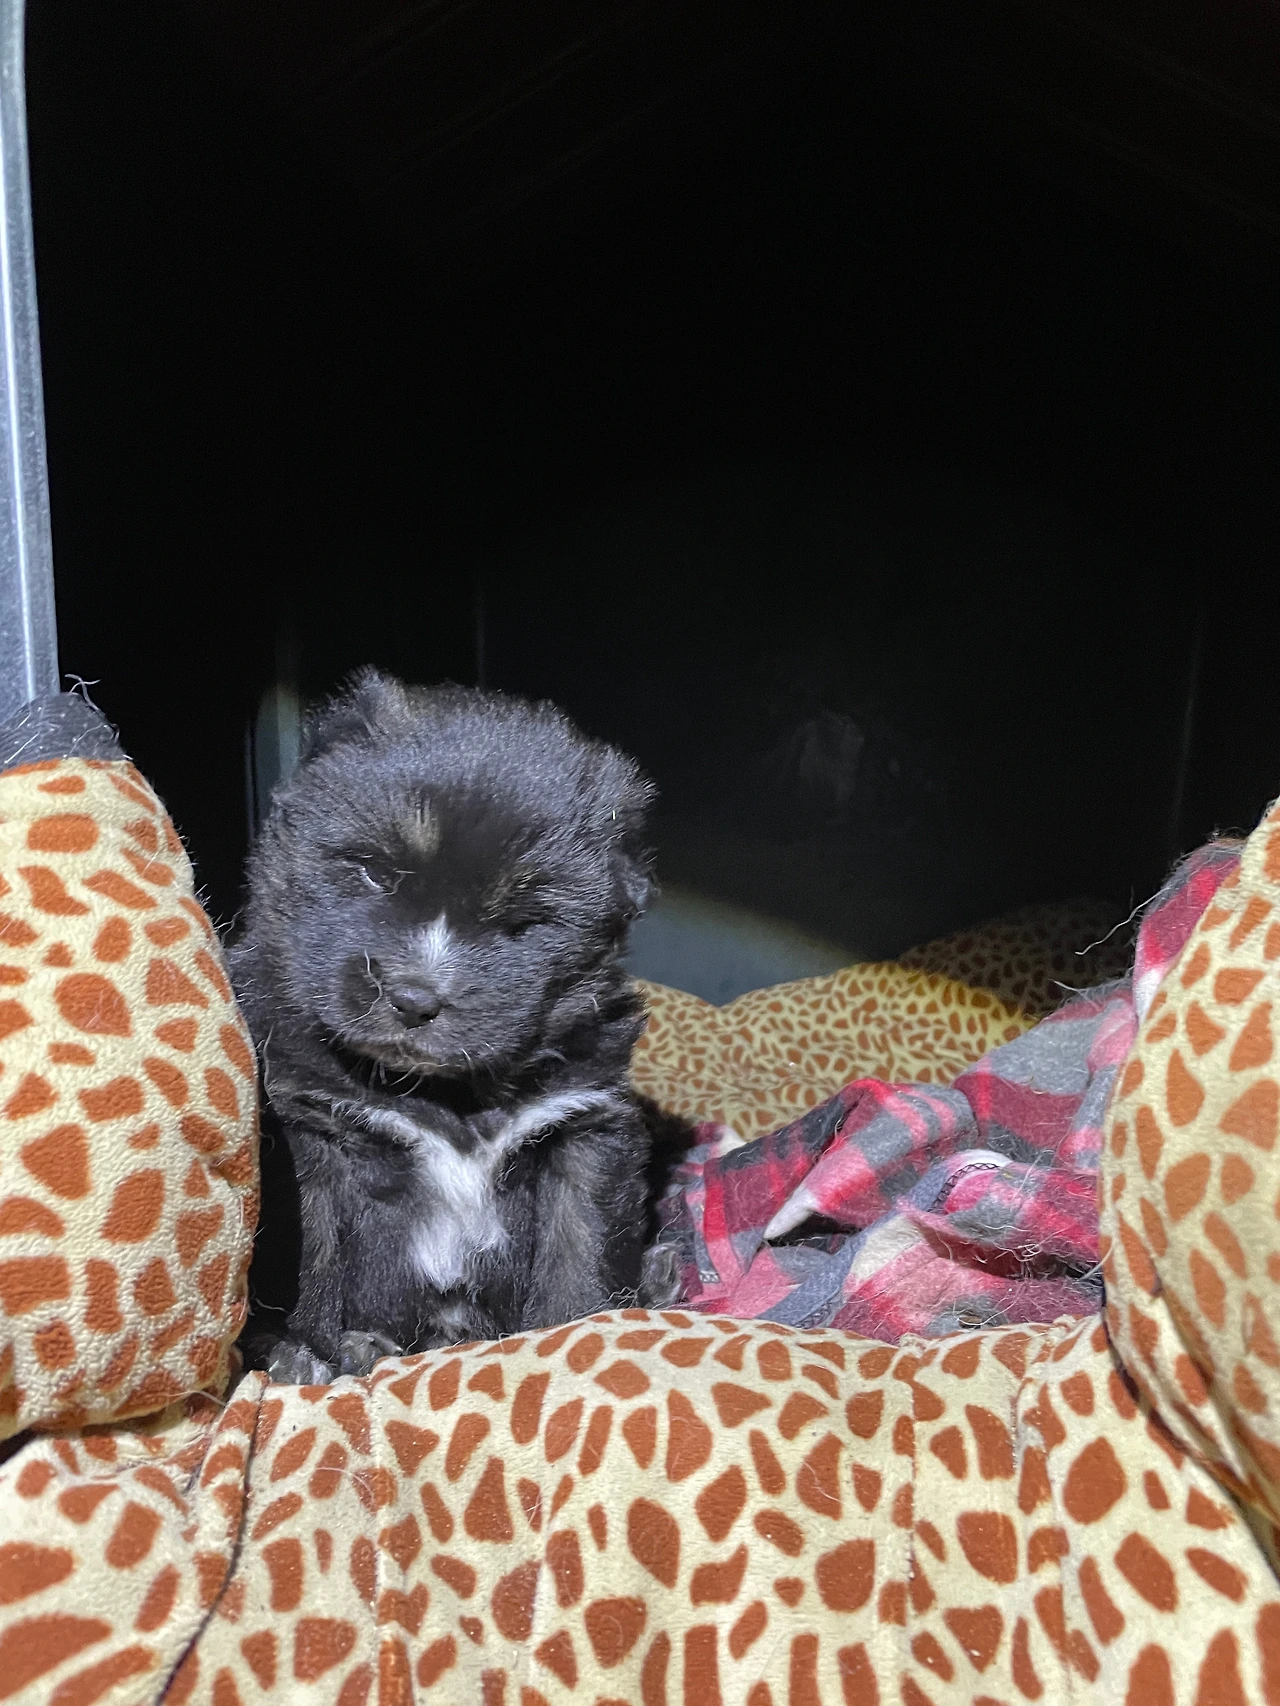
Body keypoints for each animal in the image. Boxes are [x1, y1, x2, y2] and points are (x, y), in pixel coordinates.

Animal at [231, 669, 670, 1383]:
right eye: (374, 871)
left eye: (523, 921)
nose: (414, 999)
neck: (447, 1096)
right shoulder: (308, 1133)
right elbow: (316, 1260)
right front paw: (305, 1355)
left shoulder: (585, 1127)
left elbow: (580, 1254)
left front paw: (581, 1338)